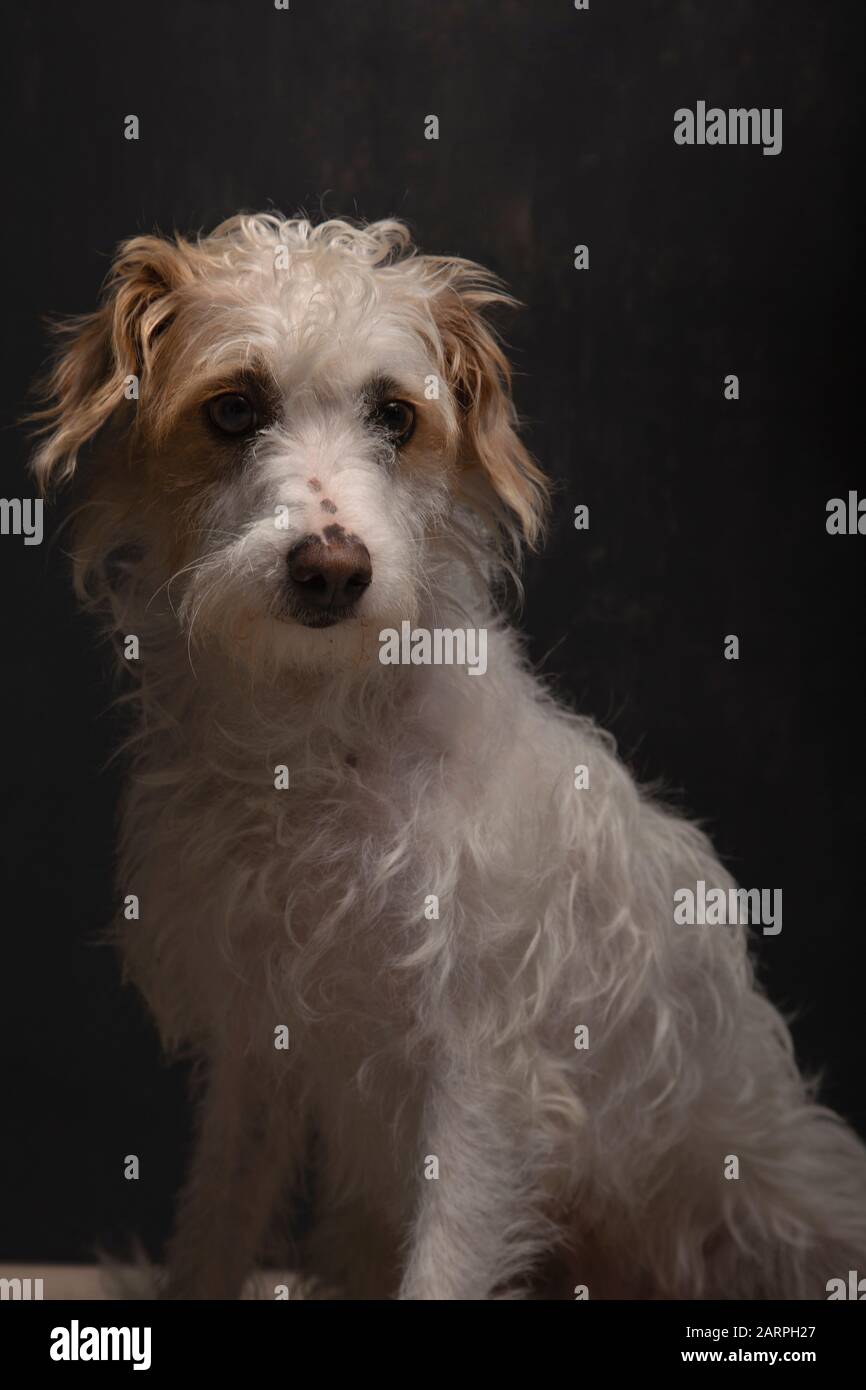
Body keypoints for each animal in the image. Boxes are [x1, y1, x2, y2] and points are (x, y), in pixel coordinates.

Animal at [28, 211, 866, 1295]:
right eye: (234, 408)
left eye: (395, 415)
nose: (332, 570)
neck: (316, 742)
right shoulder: (259, 1049)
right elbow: (217, 1222)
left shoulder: (481, 1073)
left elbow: (444, 1264)